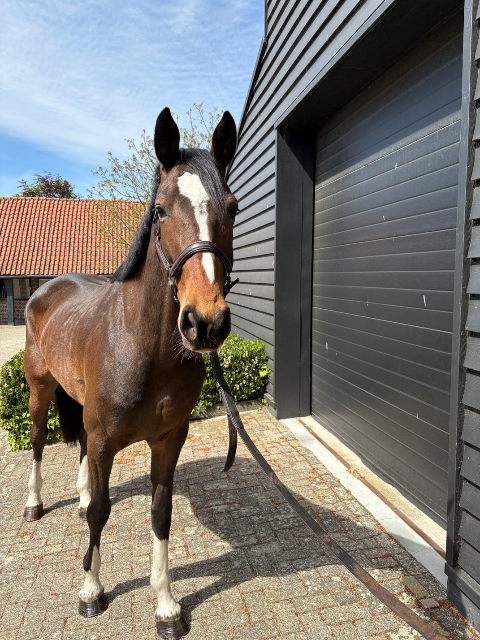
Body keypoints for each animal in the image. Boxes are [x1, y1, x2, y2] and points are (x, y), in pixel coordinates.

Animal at [22, 107, 238, 639]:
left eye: (233, 208)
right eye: (160, 211)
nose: (205, 322)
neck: (145, 349)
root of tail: (45, 289)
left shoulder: (168, 441)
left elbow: (160, 514)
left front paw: (166, 605)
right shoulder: (106, 439)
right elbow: (103, 513)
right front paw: (91, 590)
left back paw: (79, 494)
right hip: (39, 390)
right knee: (38, 442)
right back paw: (34, 504)